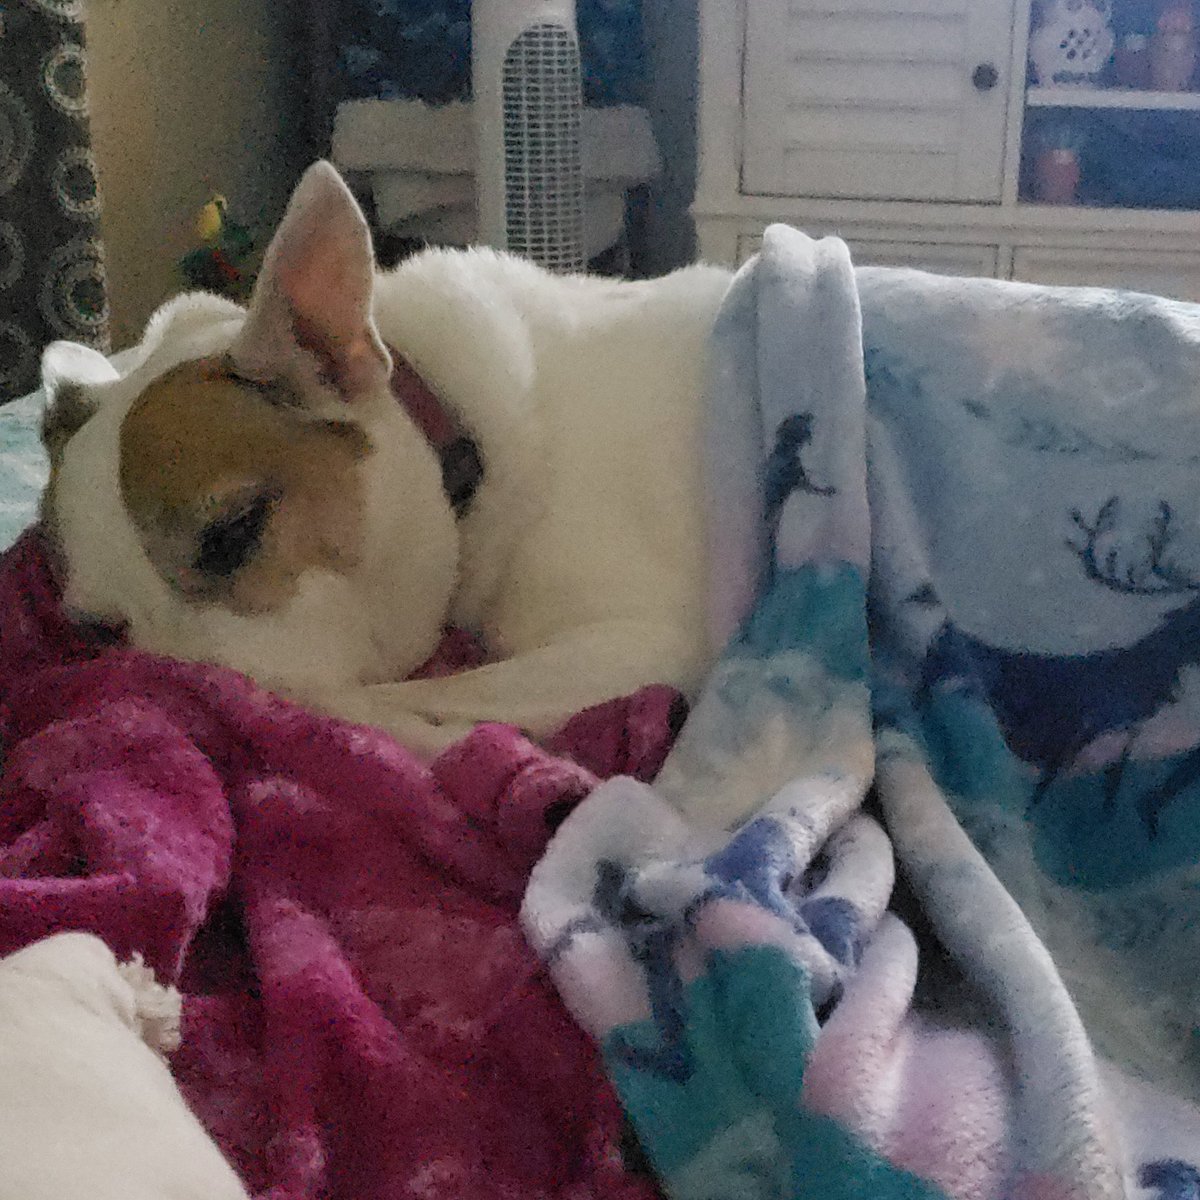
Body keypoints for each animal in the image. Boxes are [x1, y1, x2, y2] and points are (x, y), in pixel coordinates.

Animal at [38, 161, 733, 755]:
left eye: (234, 533)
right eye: (99, 633)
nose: (186, 687)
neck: (464, 449)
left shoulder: (639, 644)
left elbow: (409, 694)